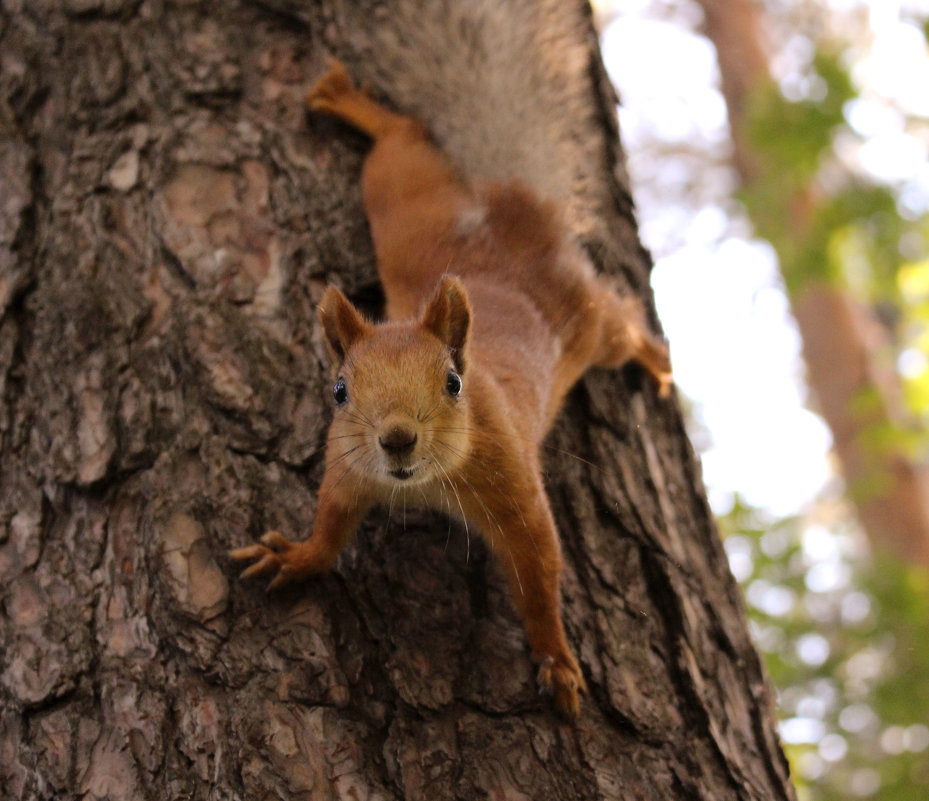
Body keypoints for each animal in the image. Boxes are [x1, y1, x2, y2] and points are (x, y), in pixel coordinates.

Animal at [229, 59, 672, 716]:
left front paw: (557, 659)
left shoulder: (513, 479)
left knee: (623, 320)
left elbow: (539, 571)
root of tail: (512, 211)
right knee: (405, 146)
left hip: (584, 317)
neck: (422, 484)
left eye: (454, 382)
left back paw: (657, 360)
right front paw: (296, 556)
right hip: (408, 203)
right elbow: (331, 522)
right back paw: (352, 104)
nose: (396, 440)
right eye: (339, 391)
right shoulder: (347, 464)